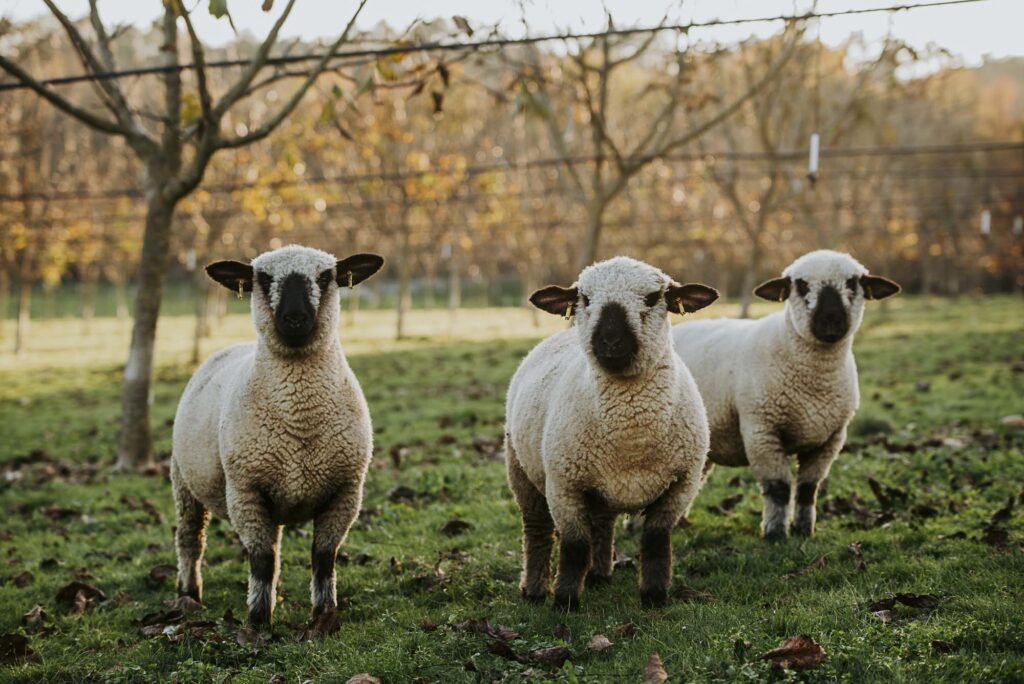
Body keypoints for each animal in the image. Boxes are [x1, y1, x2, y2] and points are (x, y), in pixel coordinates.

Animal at [171, 244, 385, 626]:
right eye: (263, 278)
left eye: (326, 277)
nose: (295, 319)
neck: (300, 421)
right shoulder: (246, 491)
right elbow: (261, 560)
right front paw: (258, 622)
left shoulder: (345, 492)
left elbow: (323, 557)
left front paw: (323, 617)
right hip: (183, 481)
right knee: (190, 539)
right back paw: (188, 595)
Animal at [505, 255, 720, 610]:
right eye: (584, 298)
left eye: (653, 297)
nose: (609, 341)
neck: (631, 440)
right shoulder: (564, 487)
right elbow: (574, 546)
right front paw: (565, 601)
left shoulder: (681, 485)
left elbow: (656, 541)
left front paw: (654, 596)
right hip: (520, 468)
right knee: (536, 530)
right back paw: (534, 589)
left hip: (600, 489)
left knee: (603, 525)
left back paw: (600, 574)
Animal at [671, 248, 897, 540]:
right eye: (800, 285)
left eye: (852, 283)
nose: (831, 320)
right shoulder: (762, 431)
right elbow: (778, 487)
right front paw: (775, 532)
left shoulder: (830, 438)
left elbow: (808, 488)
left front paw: (803, 529)